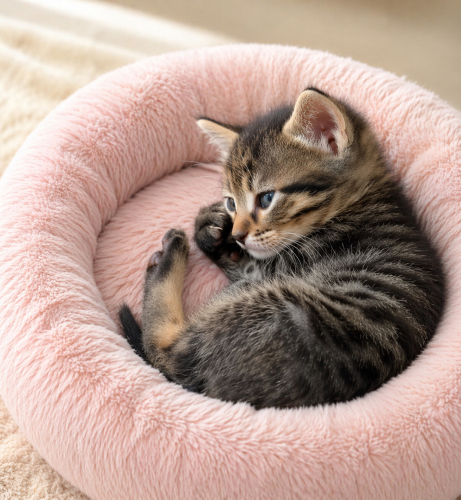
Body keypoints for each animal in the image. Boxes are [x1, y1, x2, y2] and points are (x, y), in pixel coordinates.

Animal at [118, 88, 445, 409]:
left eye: (266, 198)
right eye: (231, 202)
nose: (237, 235)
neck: (362, 196)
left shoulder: (276, 266)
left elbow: (248, 263)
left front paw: (207, 231)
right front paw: (210, 226)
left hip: (272, 308)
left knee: (163, 349)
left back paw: (168, 256)